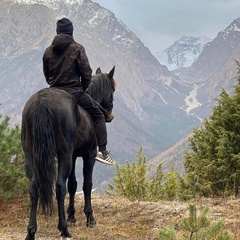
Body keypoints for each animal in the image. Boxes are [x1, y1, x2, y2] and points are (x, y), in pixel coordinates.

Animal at [22, 66, 116, 239]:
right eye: (112, 89)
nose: (110, 116)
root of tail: (41, 101)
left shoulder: (73, 156)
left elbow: (73, 184)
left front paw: (72, 215)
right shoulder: (88, 155)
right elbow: (86, 184)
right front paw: (89, 218)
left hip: (31, 156)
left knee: (34, 187)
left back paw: (31, 231)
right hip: (64, 155)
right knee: (60, 186)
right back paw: (64, 229)